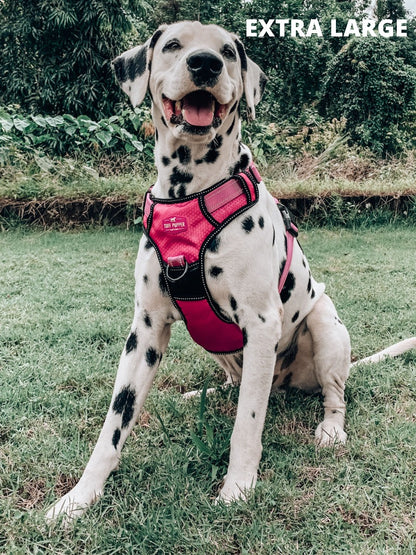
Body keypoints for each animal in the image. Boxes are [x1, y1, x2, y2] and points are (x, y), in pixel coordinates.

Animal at [45, 22, 416, 524]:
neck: (190, 193)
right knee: (236, 385)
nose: (205, 64)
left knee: (332, 393)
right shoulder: (144, 331)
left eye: (227, 51)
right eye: (173, 45)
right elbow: (113, 426)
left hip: (325, 326)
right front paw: (79, 498)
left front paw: (238, 487)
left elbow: (247, 425)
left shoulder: (261, 325)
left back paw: (330, 428)